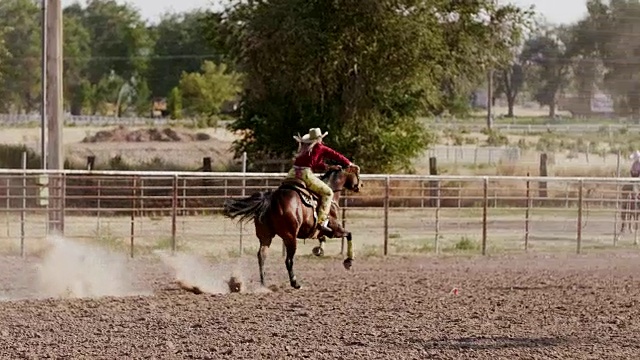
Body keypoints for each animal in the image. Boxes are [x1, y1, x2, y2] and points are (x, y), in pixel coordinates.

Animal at [221, 166, 360, 290]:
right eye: (357, 173)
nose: (360, 185)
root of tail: (271, 198)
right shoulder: (335, 229)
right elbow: (349, 234)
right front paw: (349, 261)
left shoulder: (322, 232)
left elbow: (322, 238)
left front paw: (318, 250)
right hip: (290, 237)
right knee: (288, 260)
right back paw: (295, 283)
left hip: (265, 236)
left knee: (262, 256)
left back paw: (263, 284)